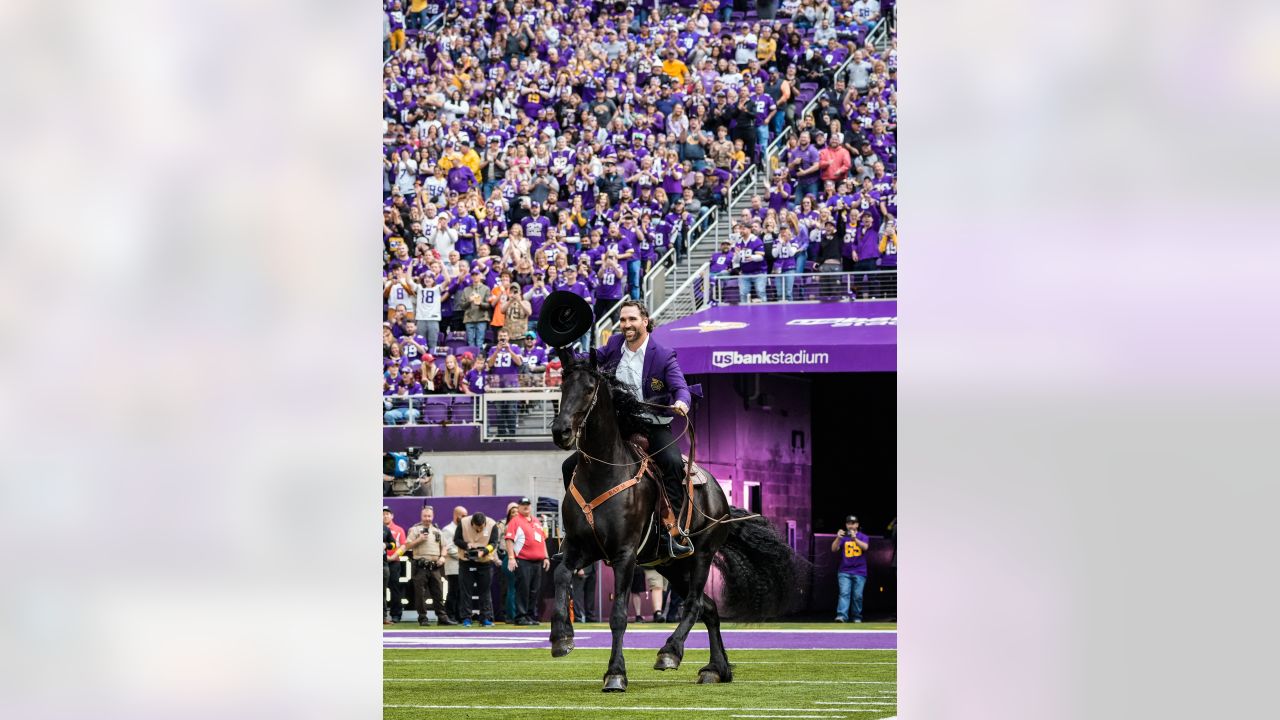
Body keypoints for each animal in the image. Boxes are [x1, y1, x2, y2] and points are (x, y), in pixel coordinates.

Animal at [547, 348, 798, 691]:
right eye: (562, 387)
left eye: (588, 389)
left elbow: (619, 615)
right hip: (669, 566)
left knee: (693, 604)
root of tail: (719, 495)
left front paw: (616, 674)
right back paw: (715, 668)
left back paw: (671, 652)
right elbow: (561, 574)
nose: (561, 431)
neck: (603, 471)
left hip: (701, 556)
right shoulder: (579, 548)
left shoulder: (625, 555)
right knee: (709, 607)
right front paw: (562, 637)